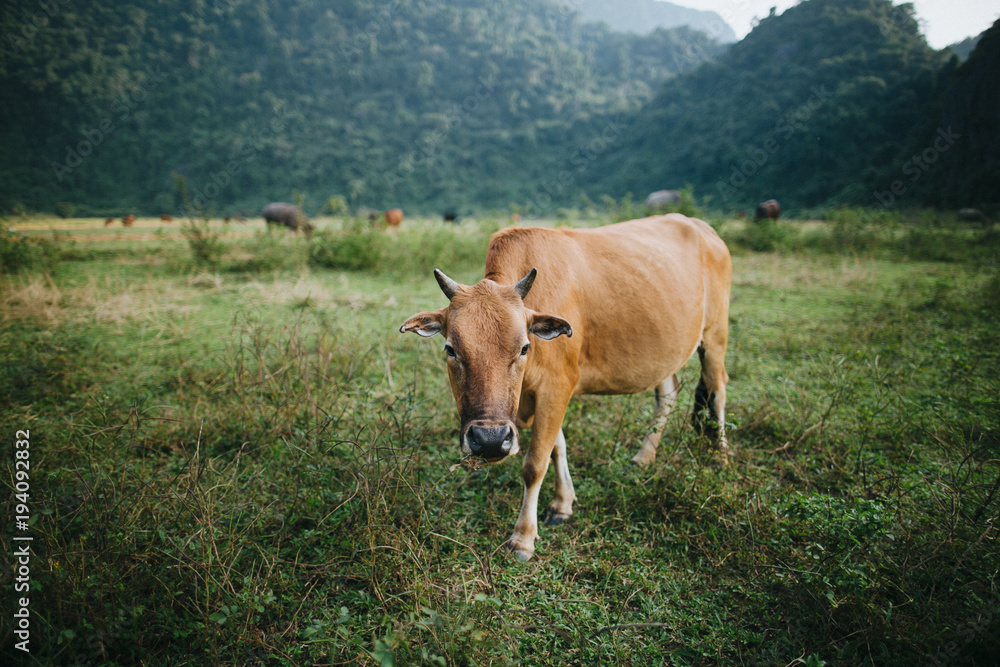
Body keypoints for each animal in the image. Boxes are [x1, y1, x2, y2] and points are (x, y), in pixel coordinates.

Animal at [400, 214, 732, 560]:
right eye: (450, 349)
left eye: (524, 347)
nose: (489, 440)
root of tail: (703, 228)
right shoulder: (543, 396)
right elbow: (557, 446)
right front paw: (562, 503)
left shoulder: (557, 386)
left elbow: (535, 463)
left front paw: (523, 537)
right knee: (667, 394)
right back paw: (644, 457)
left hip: (715, 336)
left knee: (718, 390)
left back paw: (720, 457)